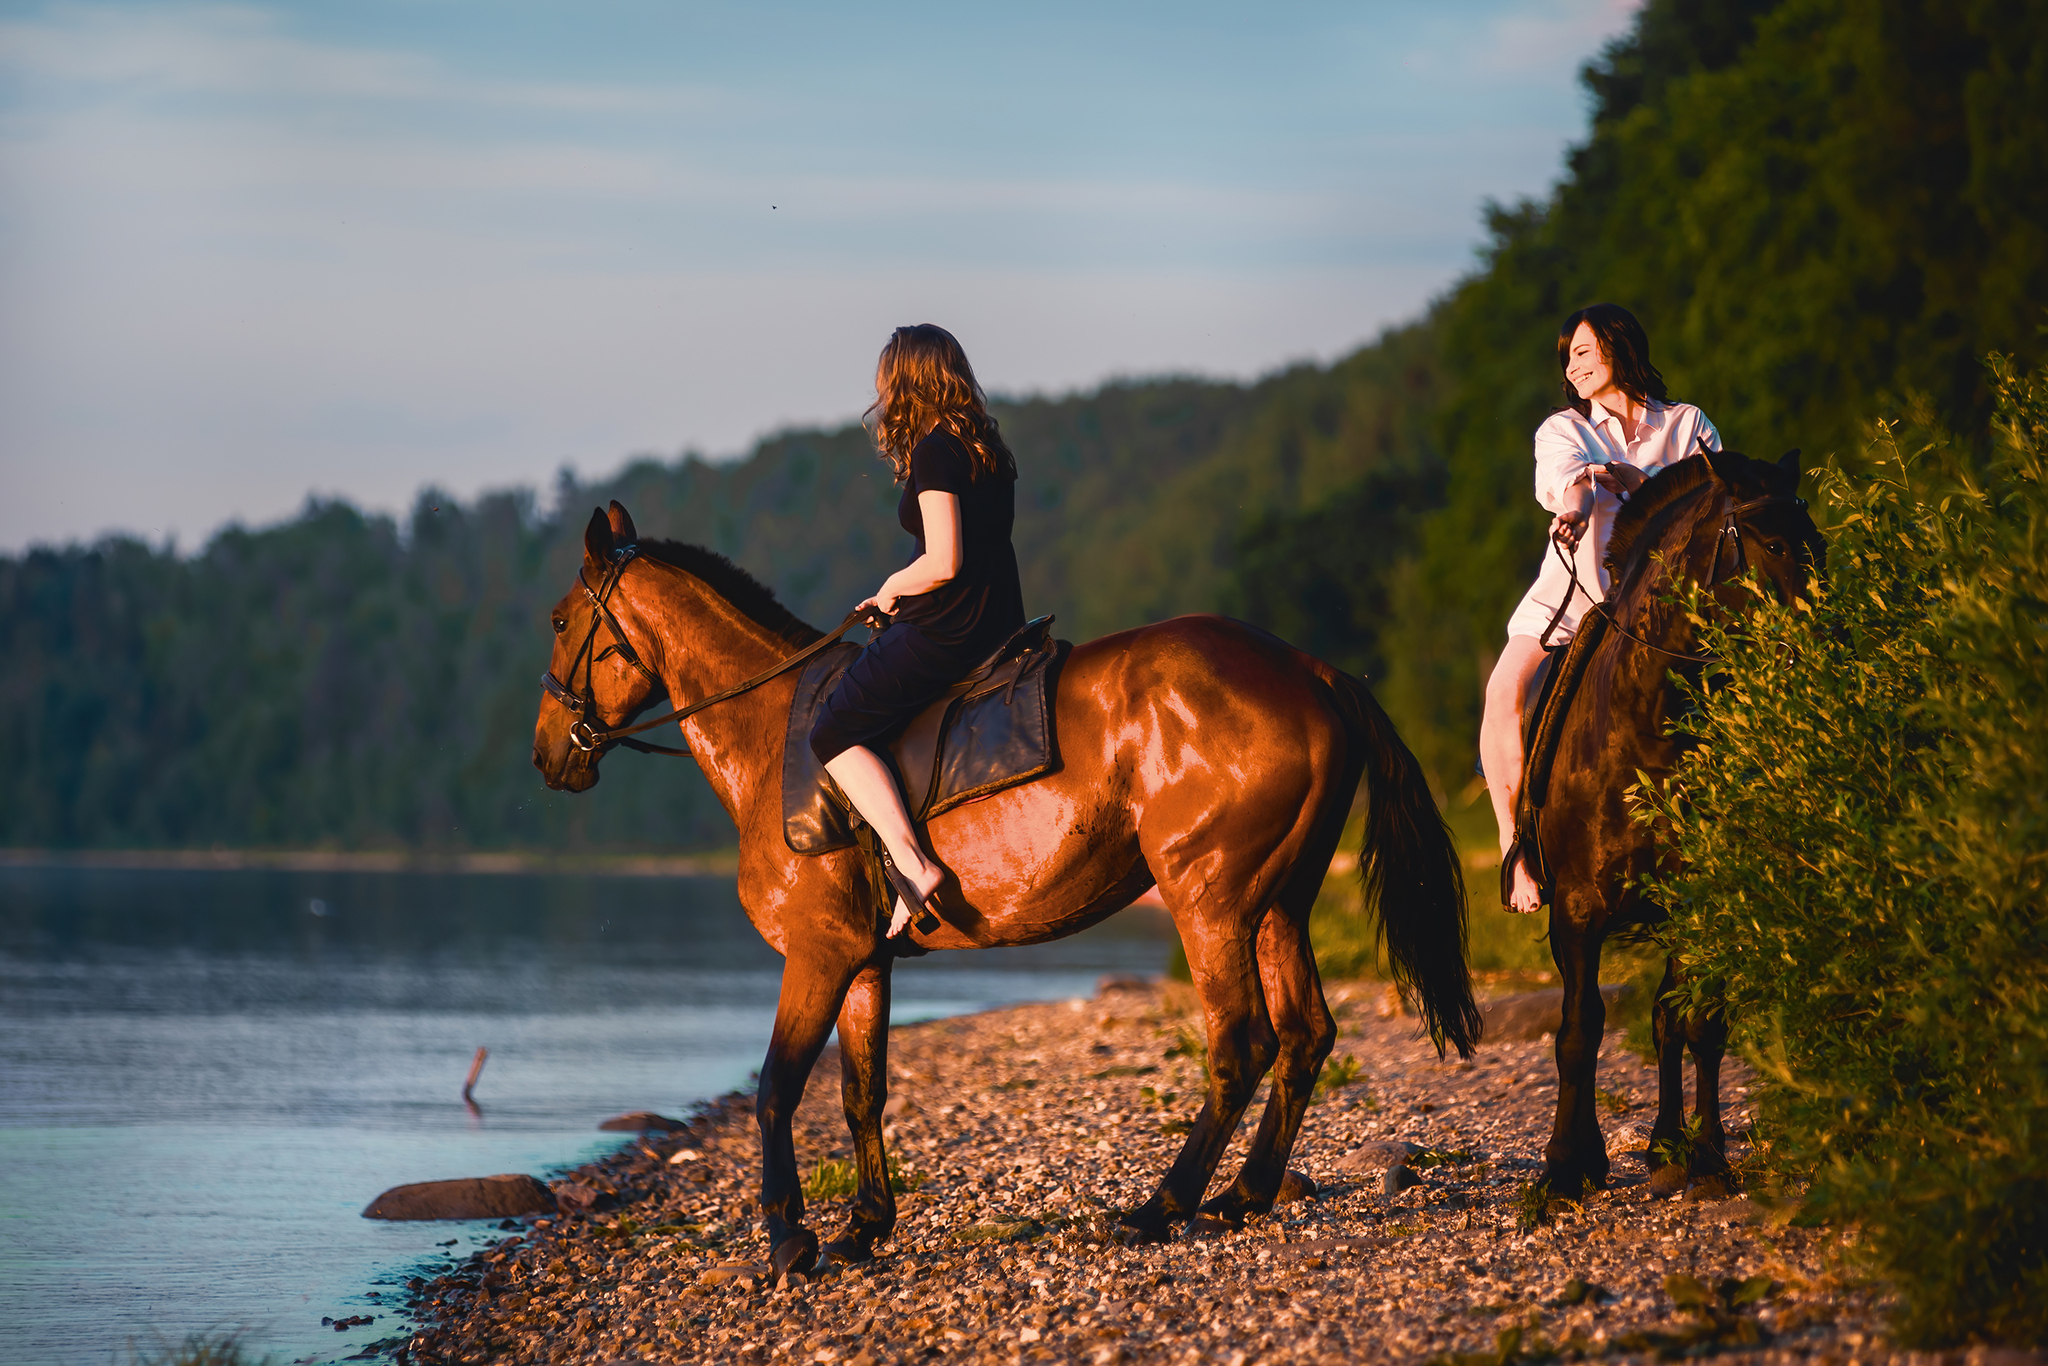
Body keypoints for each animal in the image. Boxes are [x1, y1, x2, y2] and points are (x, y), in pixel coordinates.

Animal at [536, 505, 1482, 1286]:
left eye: (559, 622)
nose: (548, 755)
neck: (770, 736)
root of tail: (1310, 669)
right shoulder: (864, 961)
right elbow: (860, 1093)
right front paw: (863, 1229)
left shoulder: (818, 953)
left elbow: (776, 1089)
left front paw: (788, 1242)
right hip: (1279, 902)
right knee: (1305, 1035)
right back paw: (1244, 1195)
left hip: (1211, 900)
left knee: (1241, 1044)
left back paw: (1160, 1207)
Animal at [1523, 448, 1826, 1196]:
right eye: (1773, 544)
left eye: (1817, 541)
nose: (1825, 637)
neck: (1648, 727)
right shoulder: (1576, 910)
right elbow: (1579, 1029)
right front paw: (1565, 1168)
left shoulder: (1698, 901)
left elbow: (1698, 1022)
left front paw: (1704, 1156)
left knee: (1667, 1016)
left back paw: (1666, 1145)